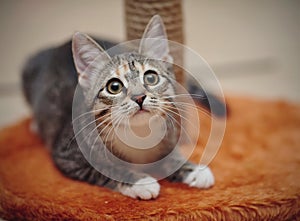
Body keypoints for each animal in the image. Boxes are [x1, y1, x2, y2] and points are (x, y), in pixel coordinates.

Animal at [22, 14, 217, 199]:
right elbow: (106, 170)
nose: (139, 97)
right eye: (114, 87)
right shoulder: (67, 156)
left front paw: (193, 170)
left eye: (151, 77)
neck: (138, 134)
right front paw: (140, 181)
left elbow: (170, 157)